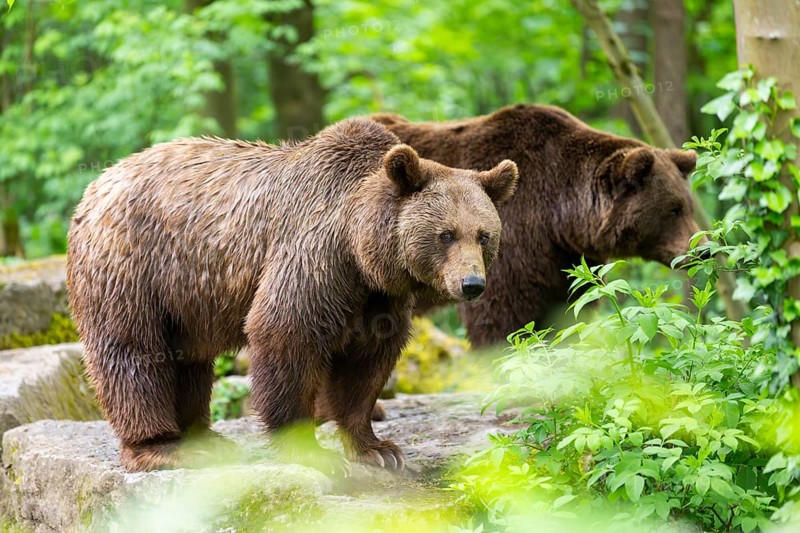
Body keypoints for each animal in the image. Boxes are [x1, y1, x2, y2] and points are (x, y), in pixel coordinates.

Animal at [66, 118, 518, 473]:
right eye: (446, 234)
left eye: (483, 235)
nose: (472, 284)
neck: (361, 249)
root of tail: (97, 183)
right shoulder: (314, 259)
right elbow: (286, 333)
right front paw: (310, 448)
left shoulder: (378, 297)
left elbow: (368, 360)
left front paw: (378, 448)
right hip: (133, 265)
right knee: (133, 349)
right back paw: (160, 447)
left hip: (186, 296)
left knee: (188, 357)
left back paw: (203, 437)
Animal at [371, 104, 700, 347]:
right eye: (673, 209)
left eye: (688, 206)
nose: (703, 249)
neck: (560, 217)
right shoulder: (511, 242)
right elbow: (499, 318)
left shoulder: (561, 260)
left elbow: (569, 314)